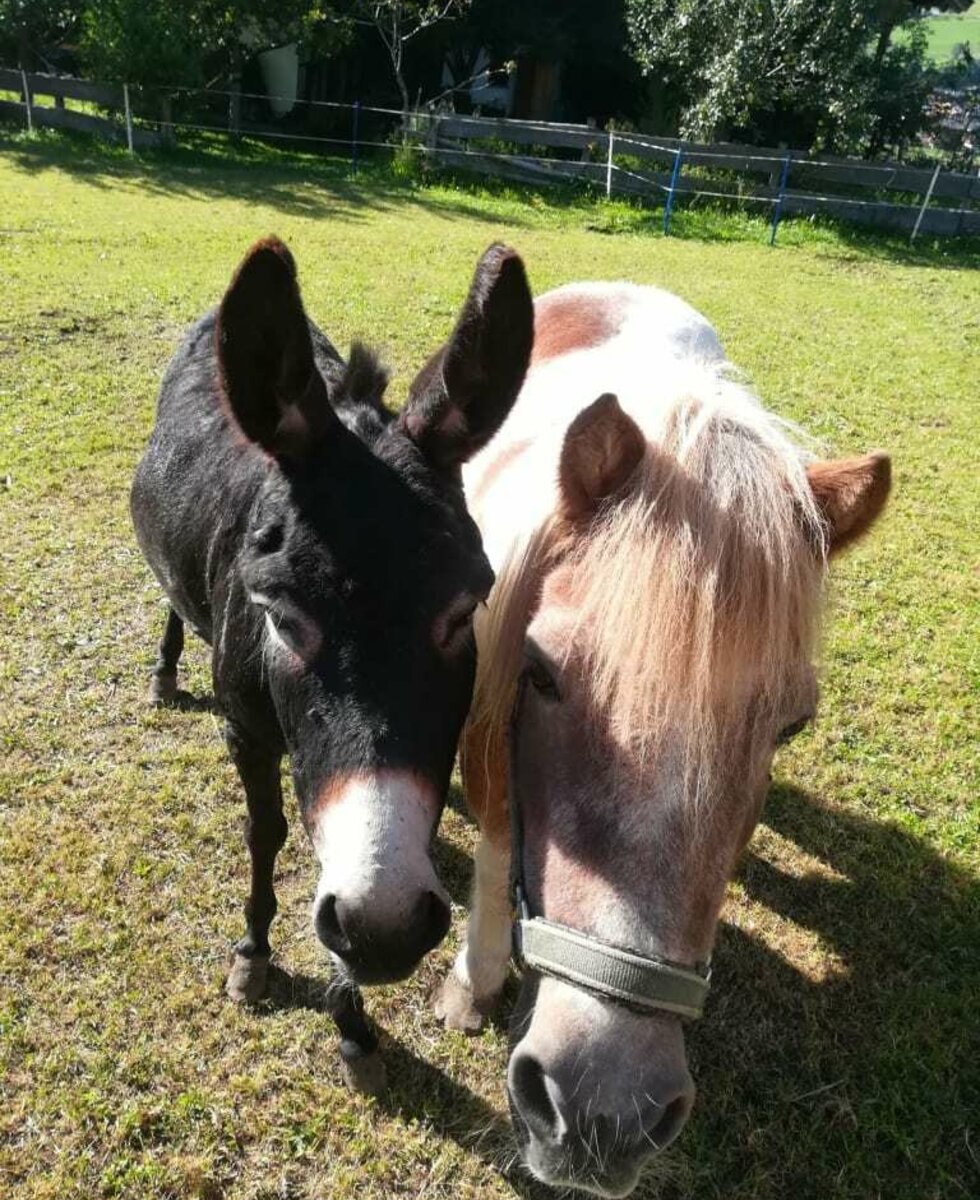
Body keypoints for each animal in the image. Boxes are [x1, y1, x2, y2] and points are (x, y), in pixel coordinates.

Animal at [130, 236, 532, 1099]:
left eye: (464, 610)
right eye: (280, 615)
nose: (386, 933)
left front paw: (353, 1025)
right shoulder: (248, 730)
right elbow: (267, 832)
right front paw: (253, 957)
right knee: (173, 599)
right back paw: (164, 672)